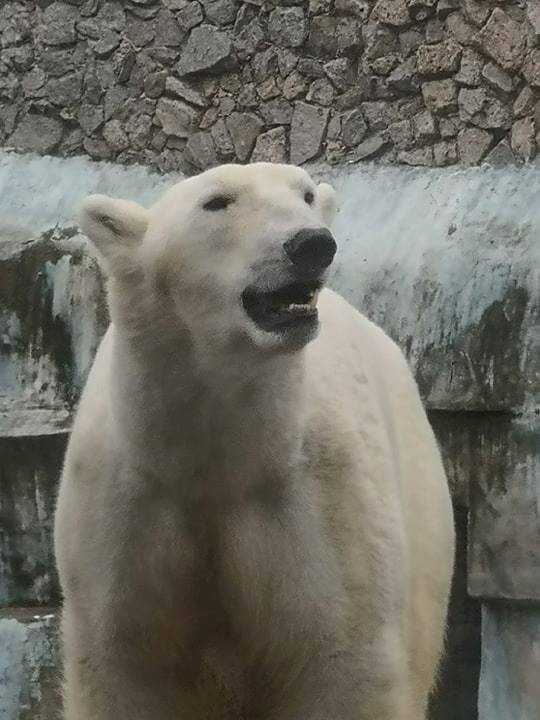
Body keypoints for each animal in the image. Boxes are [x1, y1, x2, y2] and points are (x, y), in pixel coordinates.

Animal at [54, 163, 454, 720]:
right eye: (218, 202)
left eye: (305, 194)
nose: (312, 243)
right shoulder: (127, 512)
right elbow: (127, 671)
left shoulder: (315, 504)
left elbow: (344, 660)